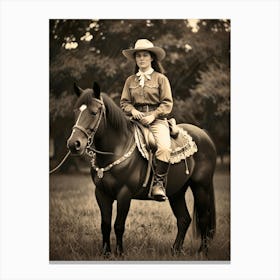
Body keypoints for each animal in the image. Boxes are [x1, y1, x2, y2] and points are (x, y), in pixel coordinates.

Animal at [66, 81, 217, 258]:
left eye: (94, 112)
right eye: (76, 111)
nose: (74, 144)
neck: (117, 147)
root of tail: (204, 135)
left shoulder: (124, 194)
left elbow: (118, 225)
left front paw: (120, 253)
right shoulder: (102, 194)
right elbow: (105, 225)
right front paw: (106, 254)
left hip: (201, 187)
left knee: (204, 218)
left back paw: (202, 252)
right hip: (177, 191)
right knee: (184, 219)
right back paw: (175, 250)